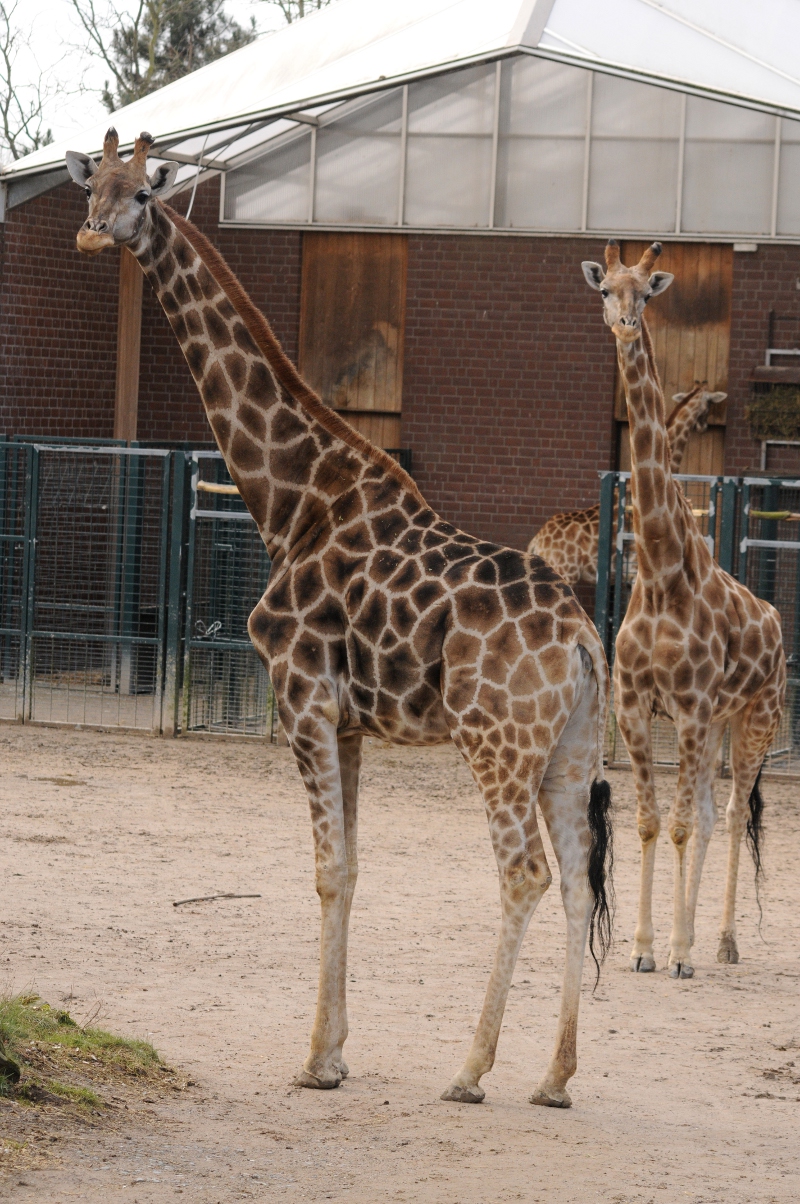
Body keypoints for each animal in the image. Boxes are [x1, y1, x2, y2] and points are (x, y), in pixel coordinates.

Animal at [66, 129, 614, 1108]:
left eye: (143, 194)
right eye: (93, 186)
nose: (94, 235)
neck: (292, 500)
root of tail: (586, 640)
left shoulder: (304, 699)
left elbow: (324, 872)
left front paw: (316, 1058)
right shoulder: (352, 722)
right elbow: (353, 870)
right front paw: (338, 1050)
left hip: (497, 743)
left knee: (522, 872)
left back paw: (470, 1069)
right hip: (571, 751)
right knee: (578, 885)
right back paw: (554, 1076)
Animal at [581, 239, 785, 978]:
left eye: (647, 293)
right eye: (605, 288)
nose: (622, 323)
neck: (661, 570)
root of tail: (775, 619)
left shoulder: (692, 707)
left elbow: (677, 824)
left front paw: (674, 950)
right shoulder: (637, 705)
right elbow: (649, 822)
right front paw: (645, 947)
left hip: (756, 718)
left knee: (727, 811)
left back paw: (718, 941)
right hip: (721, 725)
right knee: (702, 812)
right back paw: (693, 935)